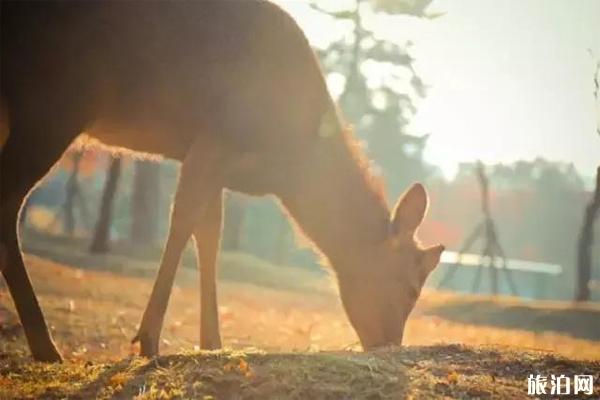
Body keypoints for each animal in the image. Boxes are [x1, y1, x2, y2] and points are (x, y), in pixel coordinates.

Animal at [1, 0, 446, 362]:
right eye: (411, 287)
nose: (390, 345)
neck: (289, 164)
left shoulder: (212, 164)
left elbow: (209, 235)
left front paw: (212, 343)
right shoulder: (213, 140)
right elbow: (182, 223)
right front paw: (149, 340)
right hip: (59, 99)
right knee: (9, 199)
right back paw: (46, 346)